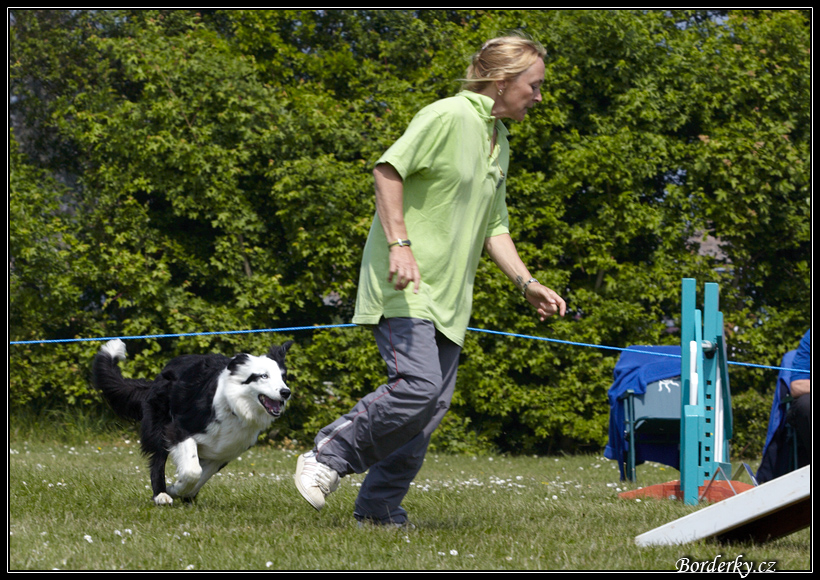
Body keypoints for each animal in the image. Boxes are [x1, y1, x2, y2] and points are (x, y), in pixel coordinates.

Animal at [94, 338, 294, 506]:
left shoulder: (223, 452)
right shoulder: (179, 430)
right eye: (263, 376)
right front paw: (174, 489)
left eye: (283, 377)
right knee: (158, 460)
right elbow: (192, 471)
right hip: (159, 425)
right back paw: (161, 495)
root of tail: (157, 378)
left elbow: (202, 476)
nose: (286, 393)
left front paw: (185, 494)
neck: (233, 406)